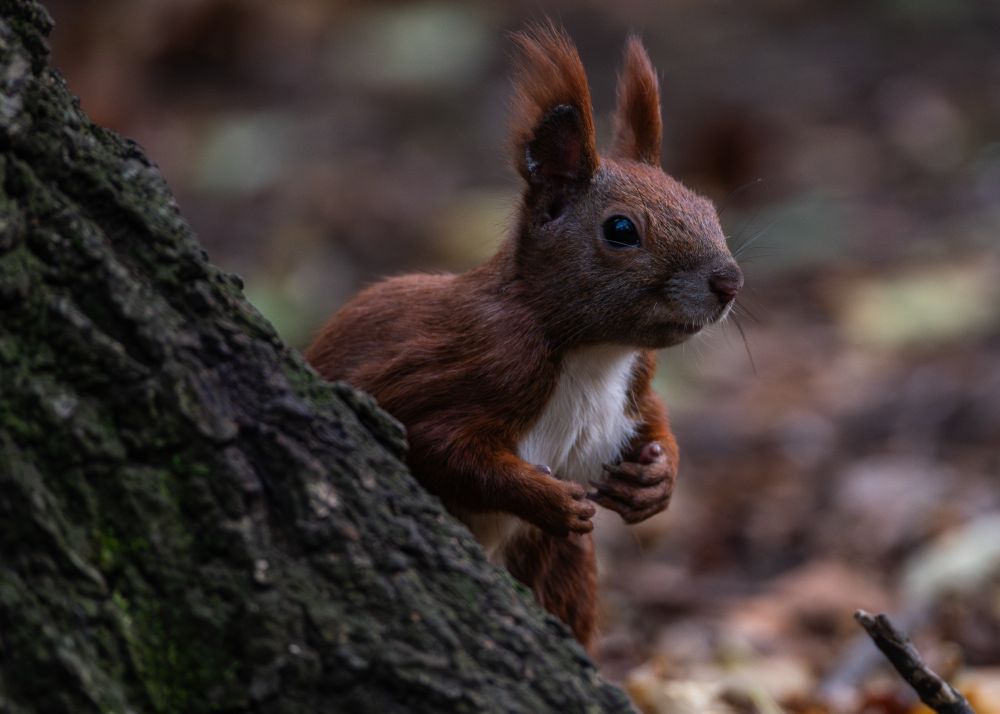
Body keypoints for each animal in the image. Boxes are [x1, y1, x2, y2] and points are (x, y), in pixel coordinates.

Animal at [306, 24, 742, 651]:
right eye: (620, 230)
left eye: (706, 205)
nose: (729, 282)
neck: (594, 353)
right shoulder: (484, 362)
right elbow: (438, 445)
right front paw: (548, 498)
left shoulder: (639, 378)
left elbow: (655, 416)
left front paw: (657, 479)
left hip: (559, 567)